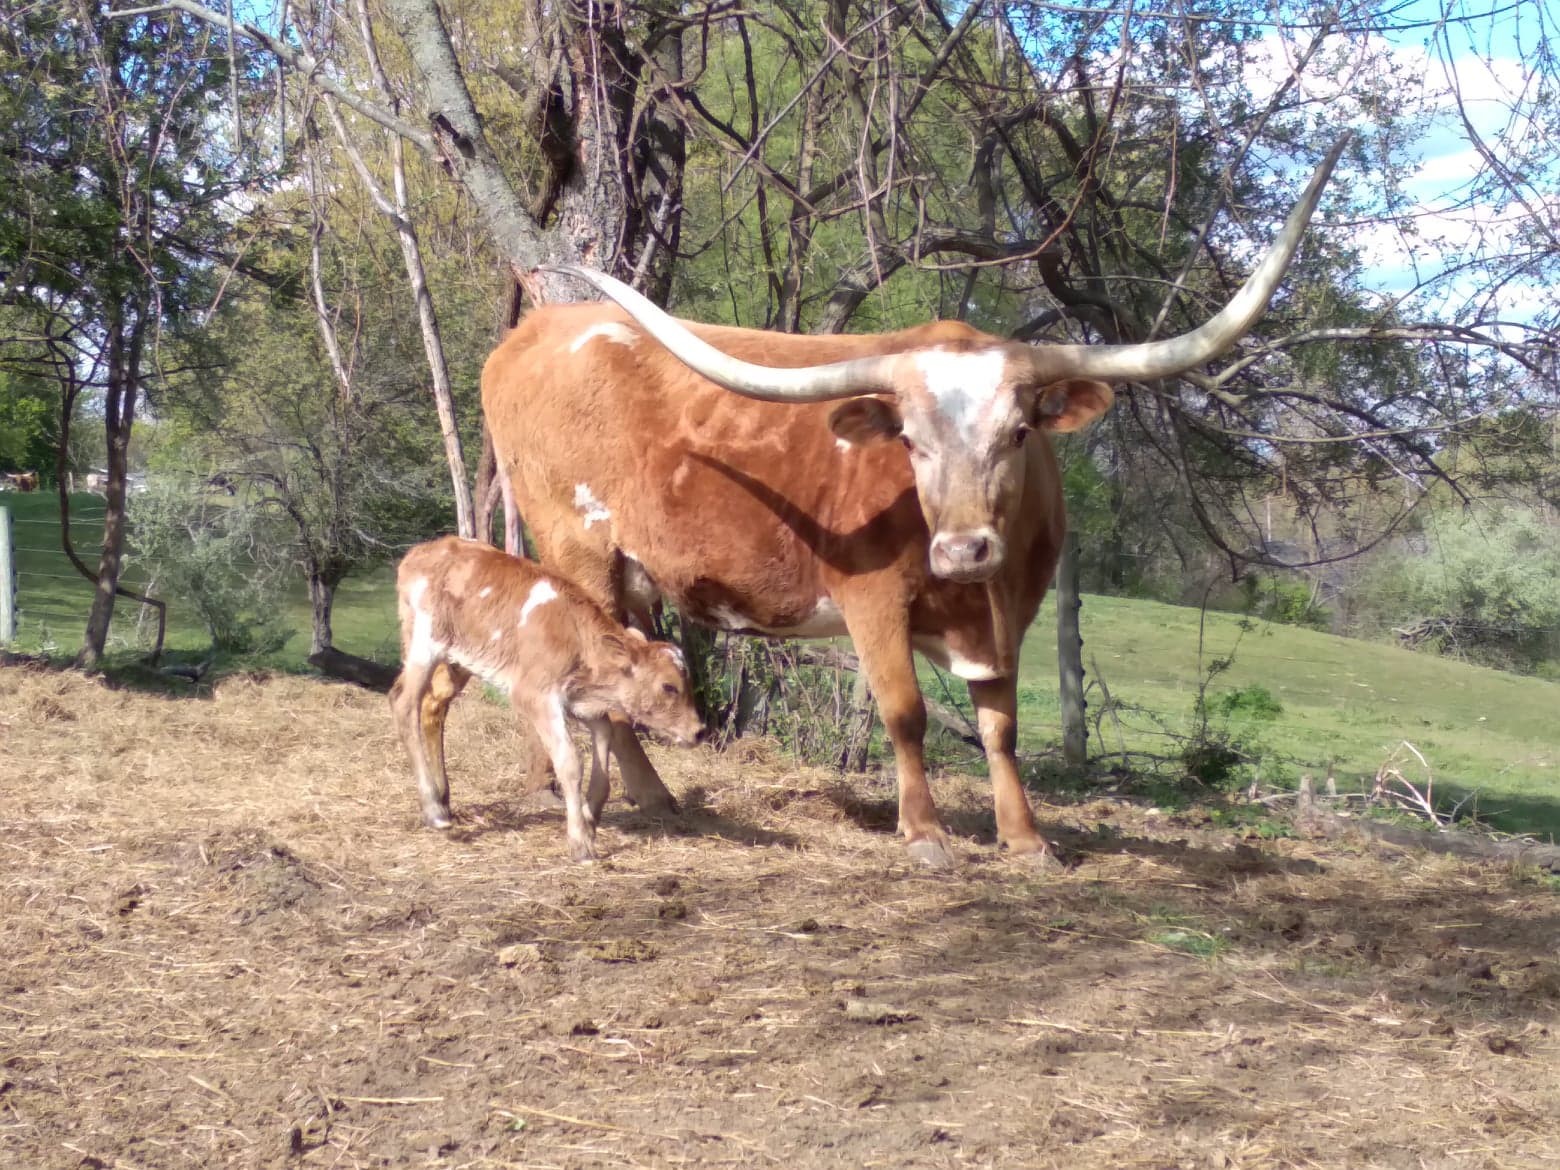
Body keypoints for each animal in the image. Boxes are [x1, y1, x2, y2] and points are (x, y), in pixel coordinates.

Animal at [389, 536, 704, 862]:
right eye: (669, 686)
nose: (699, 730)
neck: (576, 637)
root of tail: (425, 549)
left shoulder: (583, 704)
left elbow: (605, 744)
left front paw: (590, 819)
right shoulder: (535, 695)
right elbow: (570, 762)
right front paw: (580, 842)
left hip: (459, 659)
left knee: (430, 703)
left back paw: (443, 800)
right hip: (425, 643)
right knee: (404, 703)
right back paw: (433, 809)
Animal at [481, 143, 1346, 868]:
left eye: (1020, 432)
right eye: (912, 442)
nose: (964, 550)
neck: (974, 601)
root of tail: (536, 333)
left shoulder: (1011, 615)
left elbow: (1001, 725)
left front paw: (1025, 838)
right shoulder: (871, 601)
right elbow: (904, 713)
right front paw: (926, 832)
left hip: (629, 569)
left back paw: (622, 791)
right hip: (578, 547)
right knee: (598, 676)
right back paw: (629, 796)